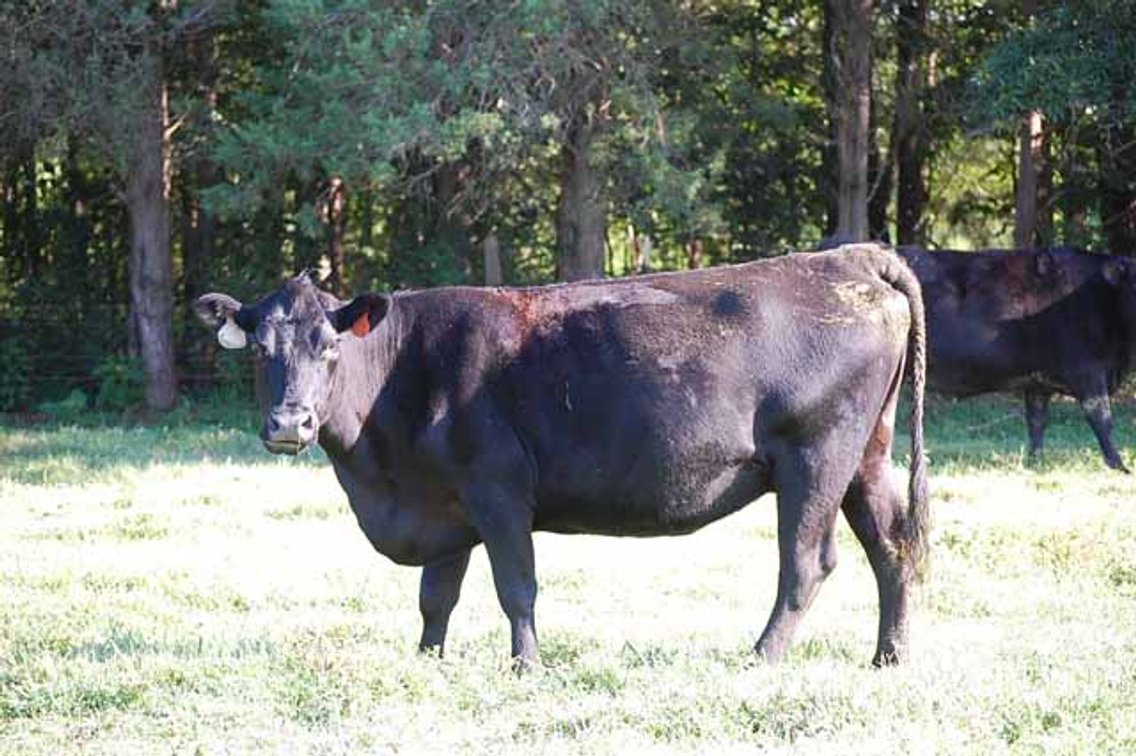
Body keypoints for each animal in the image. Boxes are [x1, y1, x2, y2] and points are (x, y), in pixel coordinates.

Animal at [193, 242, 929, 668]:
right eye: (260, 351)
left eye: (329, 347)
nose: (289, 422)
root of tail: (852, 257)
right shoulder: (443, 500)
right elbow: (436, 596)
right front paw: (427, 663)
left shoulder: (497, 491)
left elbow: (515, 586)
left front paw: (526, 666)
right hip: (866, 456)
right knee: (893, 547)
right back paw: (888, 657)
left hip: (817, 455)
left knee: (807, 563)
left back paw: (762, 657)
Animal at [898, 245, 1136, 472]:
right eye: (1134, 286)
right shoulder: (1087, 370)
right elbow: (1101, 418)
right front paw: (1118, 465)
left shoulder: (1038, 380)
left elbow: (1037, 421)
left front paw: (1036, 461)